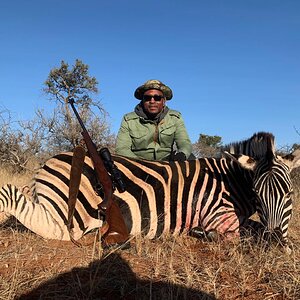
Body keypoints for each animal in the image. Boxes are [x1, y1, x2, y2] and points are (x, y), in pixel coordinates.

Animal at [0, 132, 298, 250]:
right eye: (258, 194)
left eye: (289, 194)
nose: (275, 243)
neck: (230, 180)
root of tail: (48, 162)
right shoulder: (218, 219)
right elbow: (243, 234)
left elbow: (255, 227)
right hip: (65, 219)